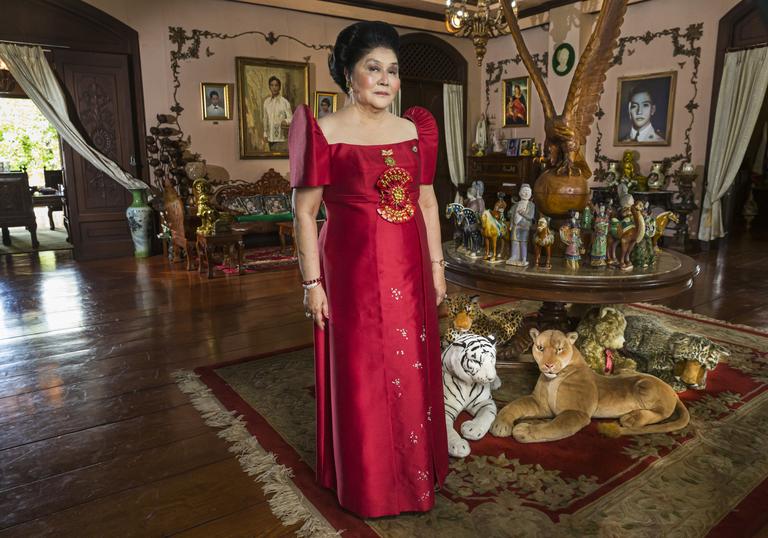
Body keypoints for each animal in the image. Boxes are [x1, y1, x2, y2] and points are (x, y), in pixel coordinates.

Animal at [492, 326, 688, 440]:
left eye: (559, 349)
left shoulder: (576, 413)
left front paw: (524, 431)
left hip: (644, 386)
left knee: (660, 413)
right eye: (540, 348)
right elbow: (513, 404)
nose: (548, 365)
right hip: (624, 371)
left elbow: (553, 427)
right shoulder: (540, 403)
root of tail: (672, 390)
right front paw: (500, 425)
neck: (552, 380)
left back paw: (631, 418)